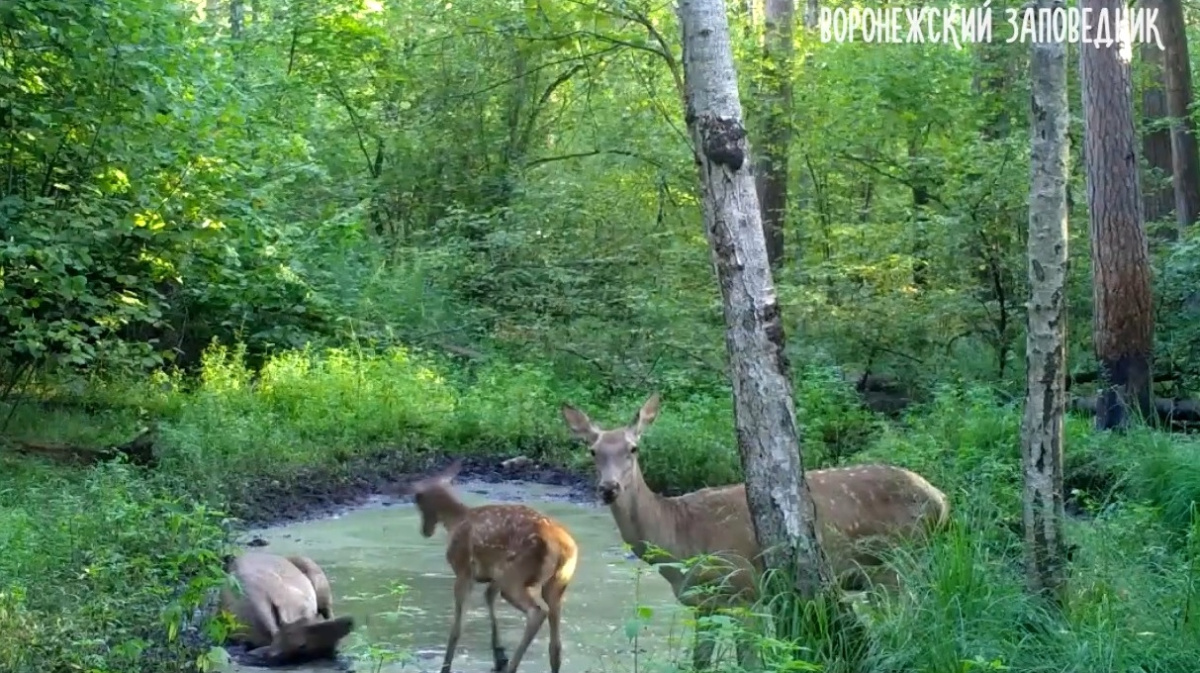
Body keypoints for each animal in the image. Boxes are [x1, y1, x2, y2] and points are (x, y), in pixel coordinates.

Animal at [400, 458, 578, 671]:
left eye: (417, 499)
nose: (425, 530)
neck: (456, 520)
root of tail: (562, 546)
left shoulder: (463, 569)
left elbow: (457, 627)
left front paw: (447, 666)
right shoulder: (494, 574)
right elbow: (488, 596)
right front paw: (499, 655)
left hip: (517, 574)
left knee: (537, 612)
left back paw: (512, 667)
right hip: (556, 582)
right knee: (555, 644)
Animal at [559, 391, 945, 667]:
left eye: (633, 448)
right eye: (592, 450)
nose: (608, 488)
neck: (681, 540)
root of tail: (942, 501)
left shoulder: (747, 592)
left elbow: (749, 661)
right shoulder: (703, 606)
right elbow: (700, 663)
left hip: (899, 564)